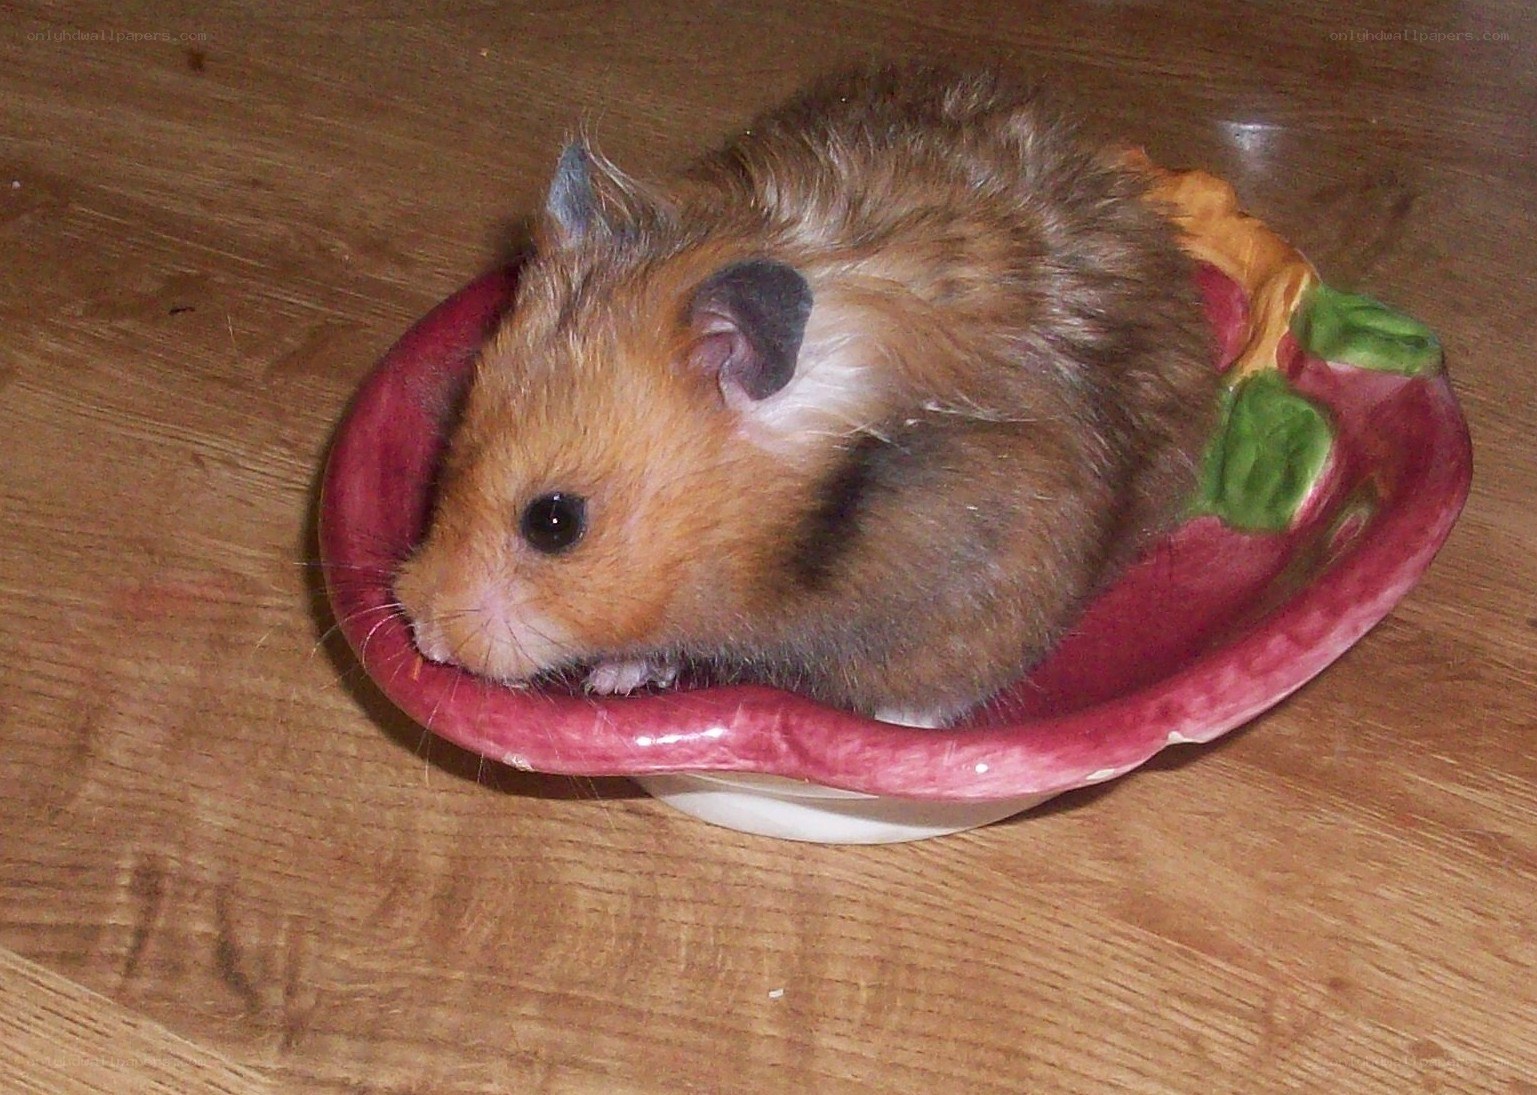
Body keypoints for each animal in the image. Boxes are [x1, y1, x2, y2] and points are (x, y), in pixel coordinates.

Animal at [394, 64, 1218, 728]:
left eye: (554, 521)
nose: (427, 638)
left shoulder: (995, 579)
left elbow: (936, 687)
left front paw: (902, 730)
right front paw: (616, 675)